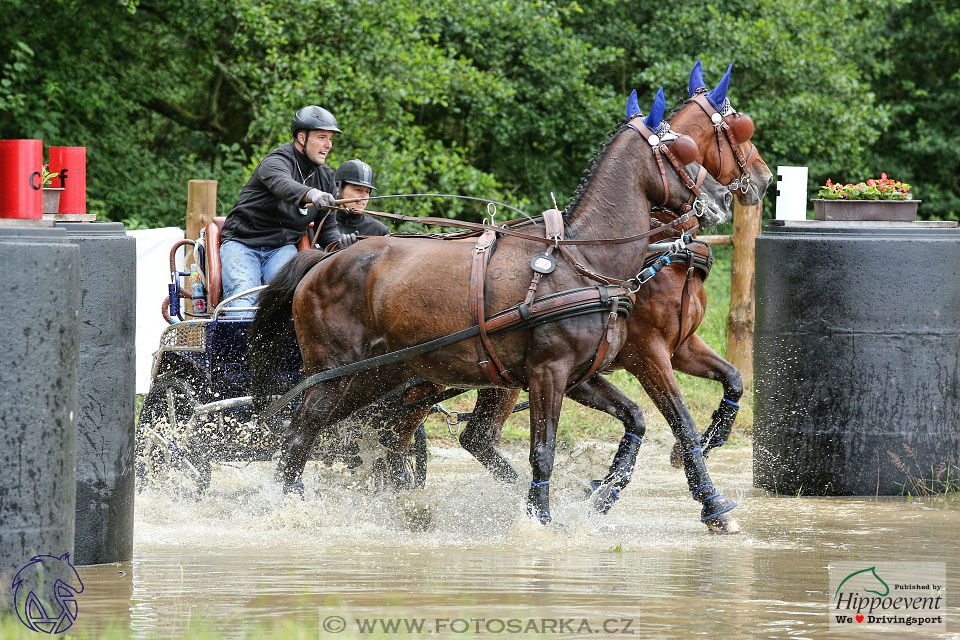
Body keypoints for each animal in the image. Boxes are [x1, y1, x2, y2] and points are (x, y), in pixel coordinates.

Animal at [251, 86, 732, 524]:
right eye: (684, 149)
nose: (722, 198)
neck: (585, 262)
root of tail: (323, 259)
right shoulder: (552, 372)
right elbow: (543, 451)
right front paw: (540, 521)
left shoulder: (580, 375)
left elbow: (635, 418)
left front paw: (602, 495)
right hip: (334, 376)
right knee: (301, 436)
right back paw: (286, 508)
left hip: (377, 378)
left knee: (356, 436)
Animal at [454, 60, 776, 532]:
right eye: (740, 128)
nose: (765, 179)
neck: (656, 251)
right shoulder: (646, 353)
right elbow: (680, 418)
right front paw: (712, 503)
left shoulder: (681, 346)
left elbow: (733, 378)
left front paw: (697, 448)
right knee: (466, 433)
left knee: (472, 435)